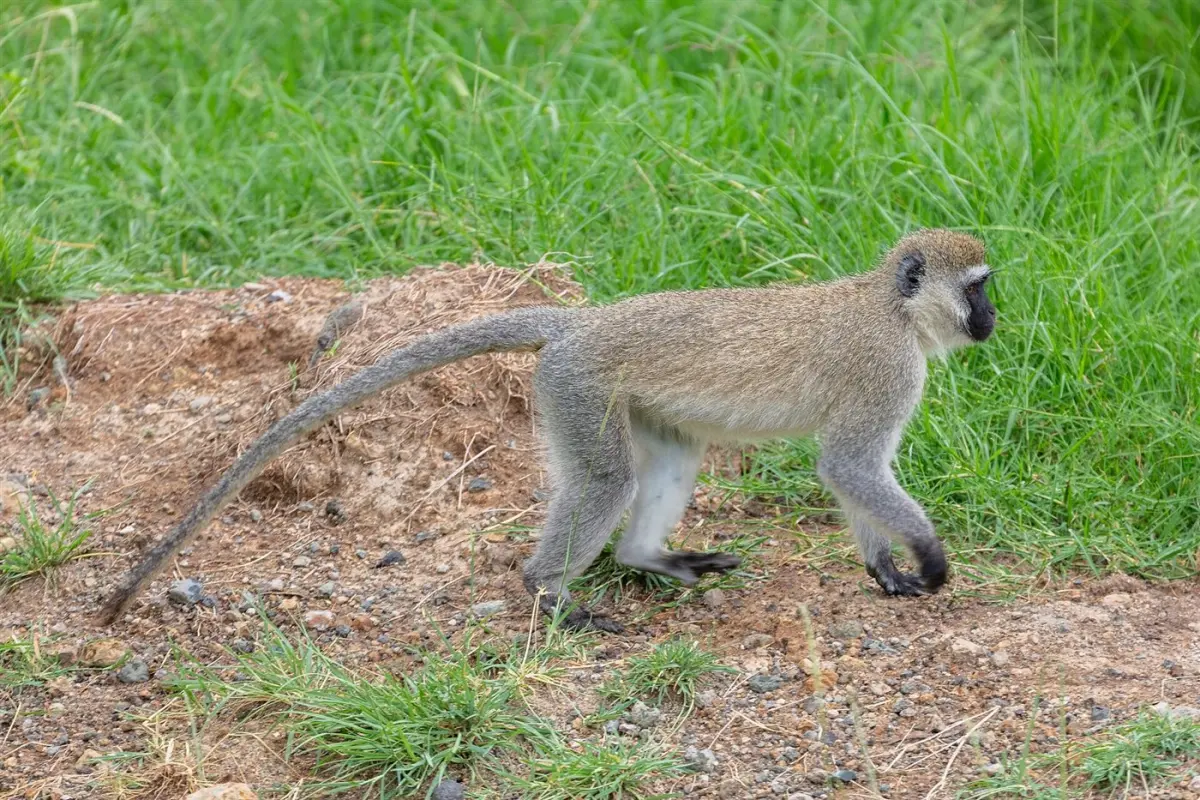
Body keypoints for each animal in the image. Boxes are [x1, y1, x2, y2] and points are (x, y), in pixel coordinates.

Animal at [99, 229, 996, 632]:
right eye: (978, 288)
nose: (994, 320)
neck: (892, 308)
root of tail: (579, 325)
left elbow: (846, 476)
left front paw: (884, 566)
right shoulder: (886, 372)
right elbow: (852, 466)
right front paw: (928, 555)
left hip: (614, 399)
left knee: (667, 461)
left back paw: (646, 557)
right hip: (576, 388)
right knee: (606, 480)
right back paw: (548, 591)